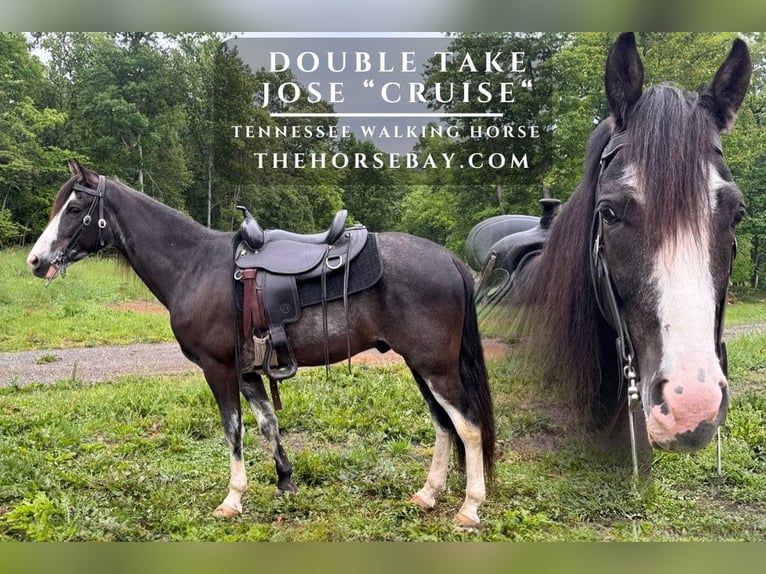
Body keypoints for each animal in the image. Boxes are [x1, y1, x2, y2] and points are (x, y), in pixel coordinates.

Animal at [26, 160, 495, 528]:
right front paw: (285, 481)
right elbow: (268, 423)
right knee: (443, 424)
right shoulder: (249, 371)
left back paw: (470, 508)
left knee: (468, 426)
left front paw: (233, 499)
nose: (35, 260)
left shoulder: (218, 369)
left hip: (435, 368)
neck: (195, 266)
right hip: (421, 366)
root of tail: (450, 259)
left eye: (74, 208)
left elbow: (232, 431)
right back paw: (428, 494)